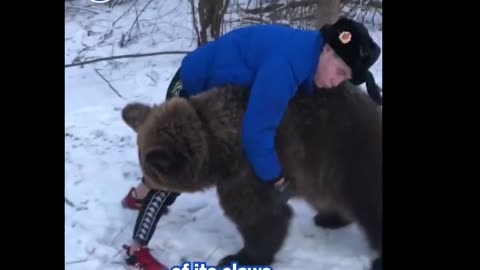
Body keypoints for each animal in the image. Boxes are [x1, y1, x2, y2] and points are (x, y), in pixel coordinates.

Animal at [121, 82, 382, 270]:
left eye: (151, 173)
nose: (146, 188)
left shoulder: (248, 171)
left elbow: (261, 215)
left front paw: (238, 256)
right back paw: (330, 218)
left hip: (346, 148)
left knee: (368, 202)